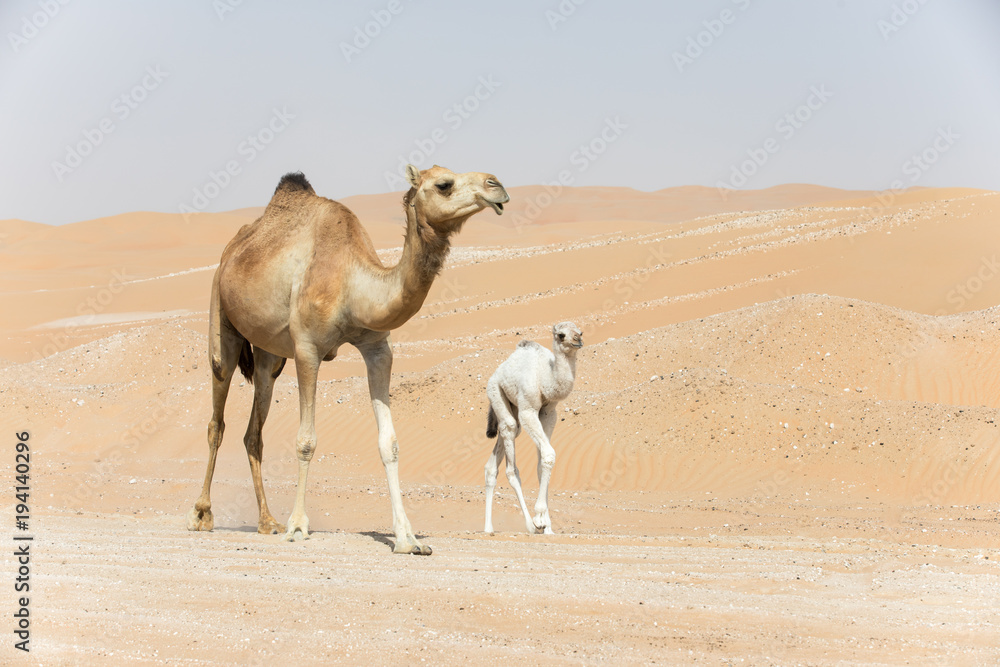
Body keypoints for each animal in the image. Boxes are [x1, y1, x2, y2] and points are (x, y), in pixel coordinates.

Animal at [482, 320, 584, 536]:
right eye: (561, 335)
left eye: (580, 331)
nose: (578, 340)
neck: (545, 377)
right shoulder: (528, 409)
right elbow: (549, 454)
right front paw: (539, 520)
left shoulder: (549, 413)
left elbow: (542, 462)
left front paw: (548, 527)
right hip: (496, 392)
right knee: (511, 463)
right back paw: (529, 524)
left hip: (510, 407)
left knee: (493, 463)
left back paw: (488, 528)